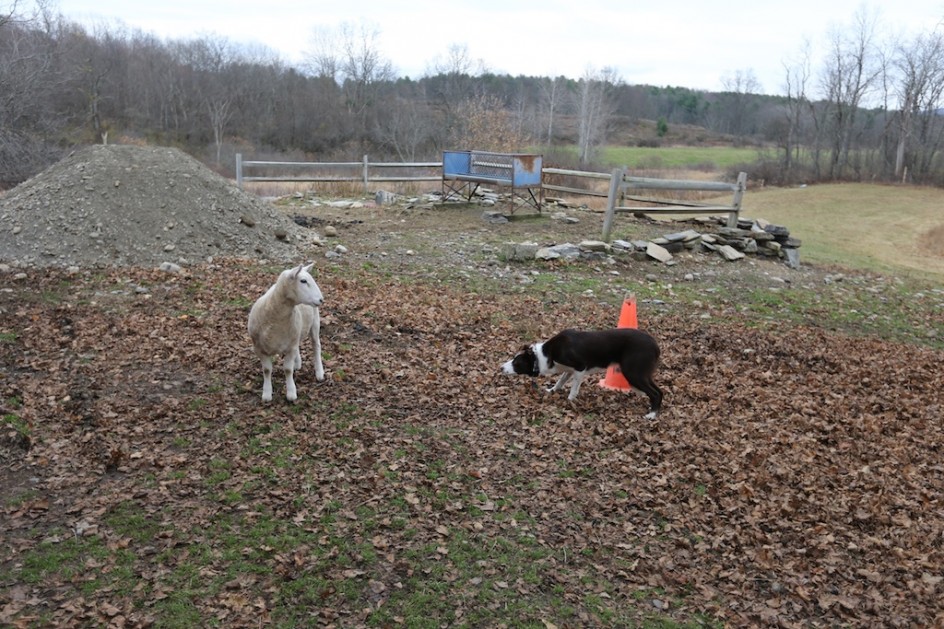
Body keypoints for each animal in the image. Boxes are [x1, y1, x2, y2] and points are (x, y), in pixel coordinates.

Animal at [247, 262, 324, 400]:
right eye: (303, 281)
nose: (321, 299)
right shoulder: (259, 348)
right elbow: (267, 370)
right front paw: (267, 394)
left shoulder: (290, 347)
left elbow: (288, 370)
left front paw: (291, 393)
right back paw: (297, 363)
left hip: (315, 322)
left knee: (316, 346)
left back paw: (319, 372)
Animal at [502, 328, 664, 418]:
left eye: (516, 363)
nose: (501, 368)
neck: (545, 355)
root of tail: (655, 345)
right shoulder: (569, 370)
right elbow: (560, 381)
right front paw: (551, 390)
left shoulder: (580, 368)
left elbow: (573, 389)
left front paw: (570, 401)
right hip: (641, 374)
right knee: (660, 391)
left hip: (633, 373)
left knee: (655, 393)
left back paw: (651, 415)